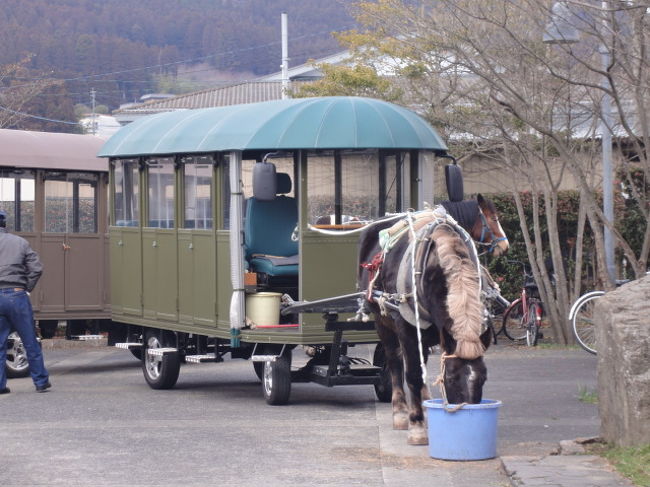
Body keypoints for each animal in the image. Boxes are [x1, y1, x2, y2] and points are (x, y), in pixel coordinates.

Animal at [357, 198, 505, 446]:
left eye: (484, 378)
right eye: (452, 378)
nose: (505, 246)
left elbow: (422, 369)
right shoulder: (407, 327)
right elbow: (412, 375)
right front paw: (416, 426)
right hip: (382, 320)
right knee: (395, 363)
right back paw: (400, 412)